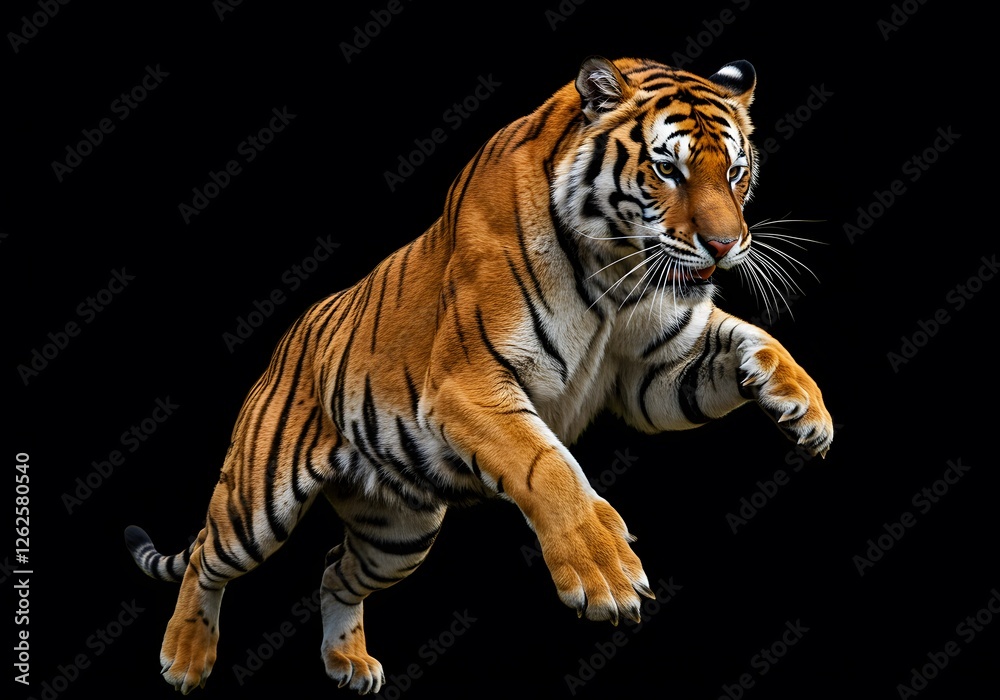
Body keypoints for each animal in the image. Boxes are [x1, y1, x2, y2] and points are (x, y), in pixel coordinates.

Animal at [125, 55, 833, 694]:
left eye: (735, 172)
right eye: (667, 169)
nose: (726, 244)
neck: (617, 271)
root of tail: (284, 342)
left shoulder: (649, 375)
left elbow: (757, 339)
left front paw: (804, 407)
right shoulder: (468, 384)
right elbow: (546, 466)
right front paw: (603, 572)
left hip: (397, 535)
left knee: (332, 571)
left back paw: (348, 663)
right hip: (256, 504)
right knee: (206, 559)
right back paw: (185, 659)